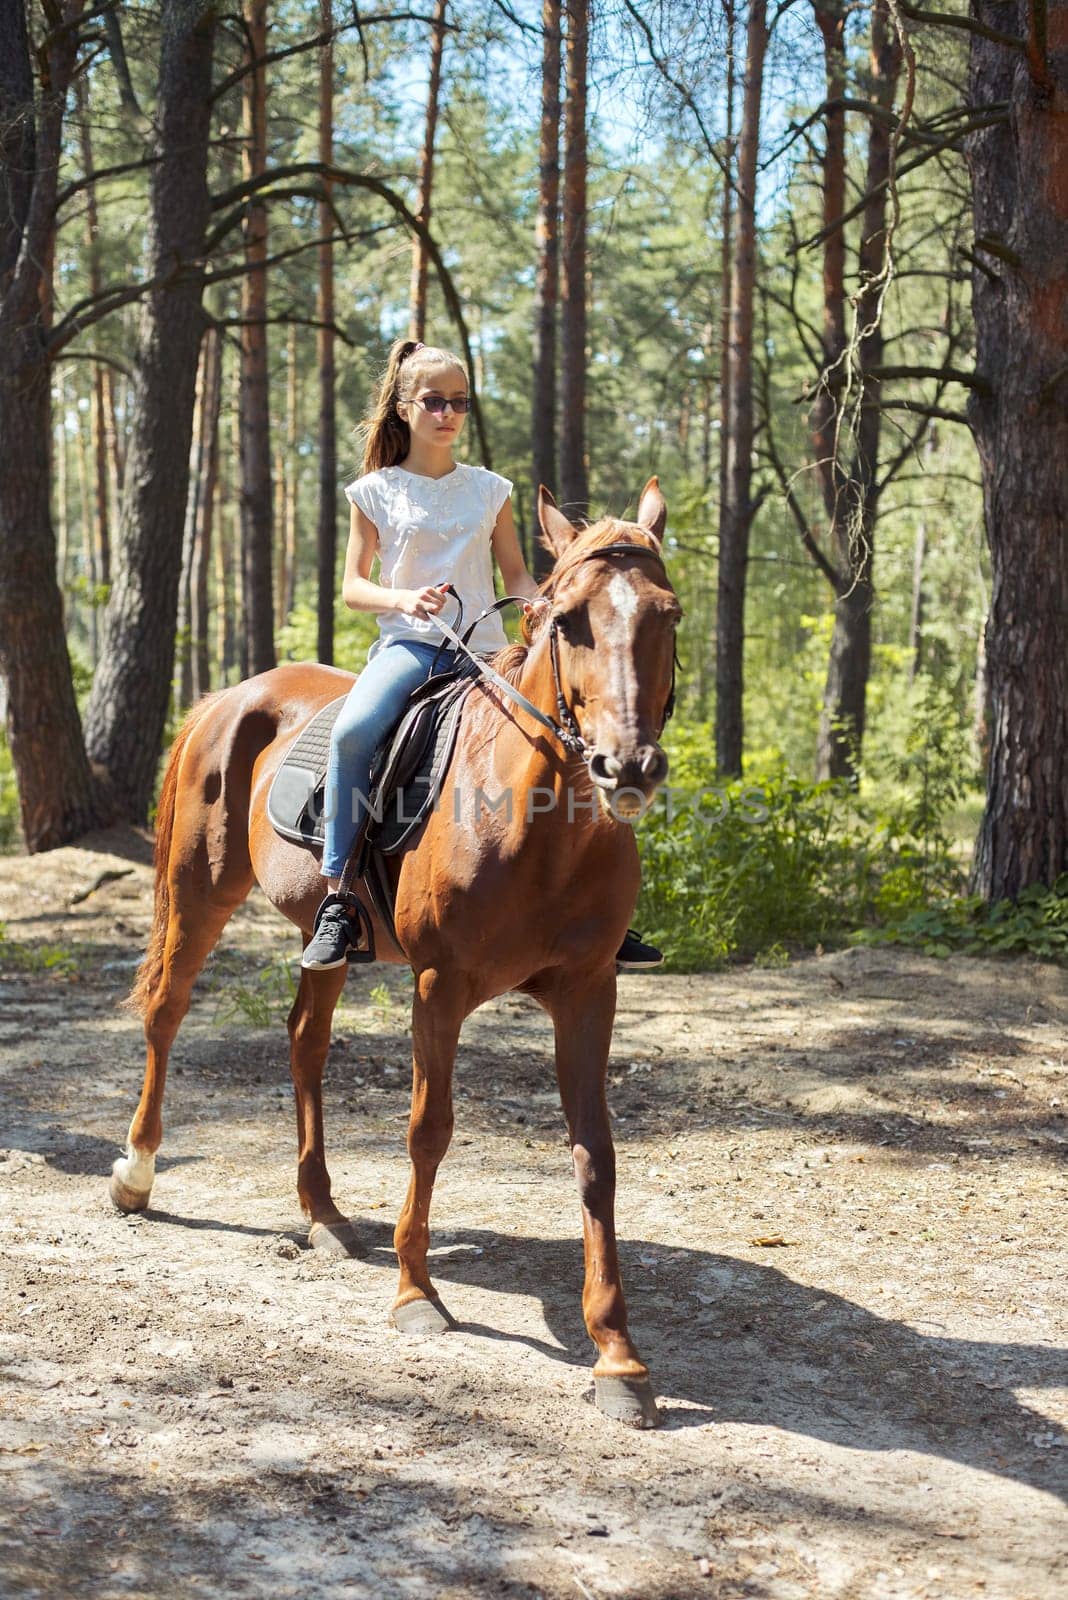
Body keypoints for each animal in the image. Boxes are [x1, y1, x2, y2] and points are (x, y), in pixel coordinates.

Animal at [112, 476, 681, 1427]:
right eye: (569, 622)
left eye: (667, 615)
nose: (625, 766)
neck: (536, 823)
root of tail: (228, 697)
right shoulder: (438, 987)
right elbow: (428, 1130)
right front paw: (417, 1294)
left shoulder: (588, 991)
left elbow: (594, 1155)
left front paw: (619, 1356)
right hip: (197, 893)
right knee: (166, 1012)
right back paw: (138, 1175)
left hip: (324, 936)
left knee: (305, 1042)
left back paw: (324, 1213)